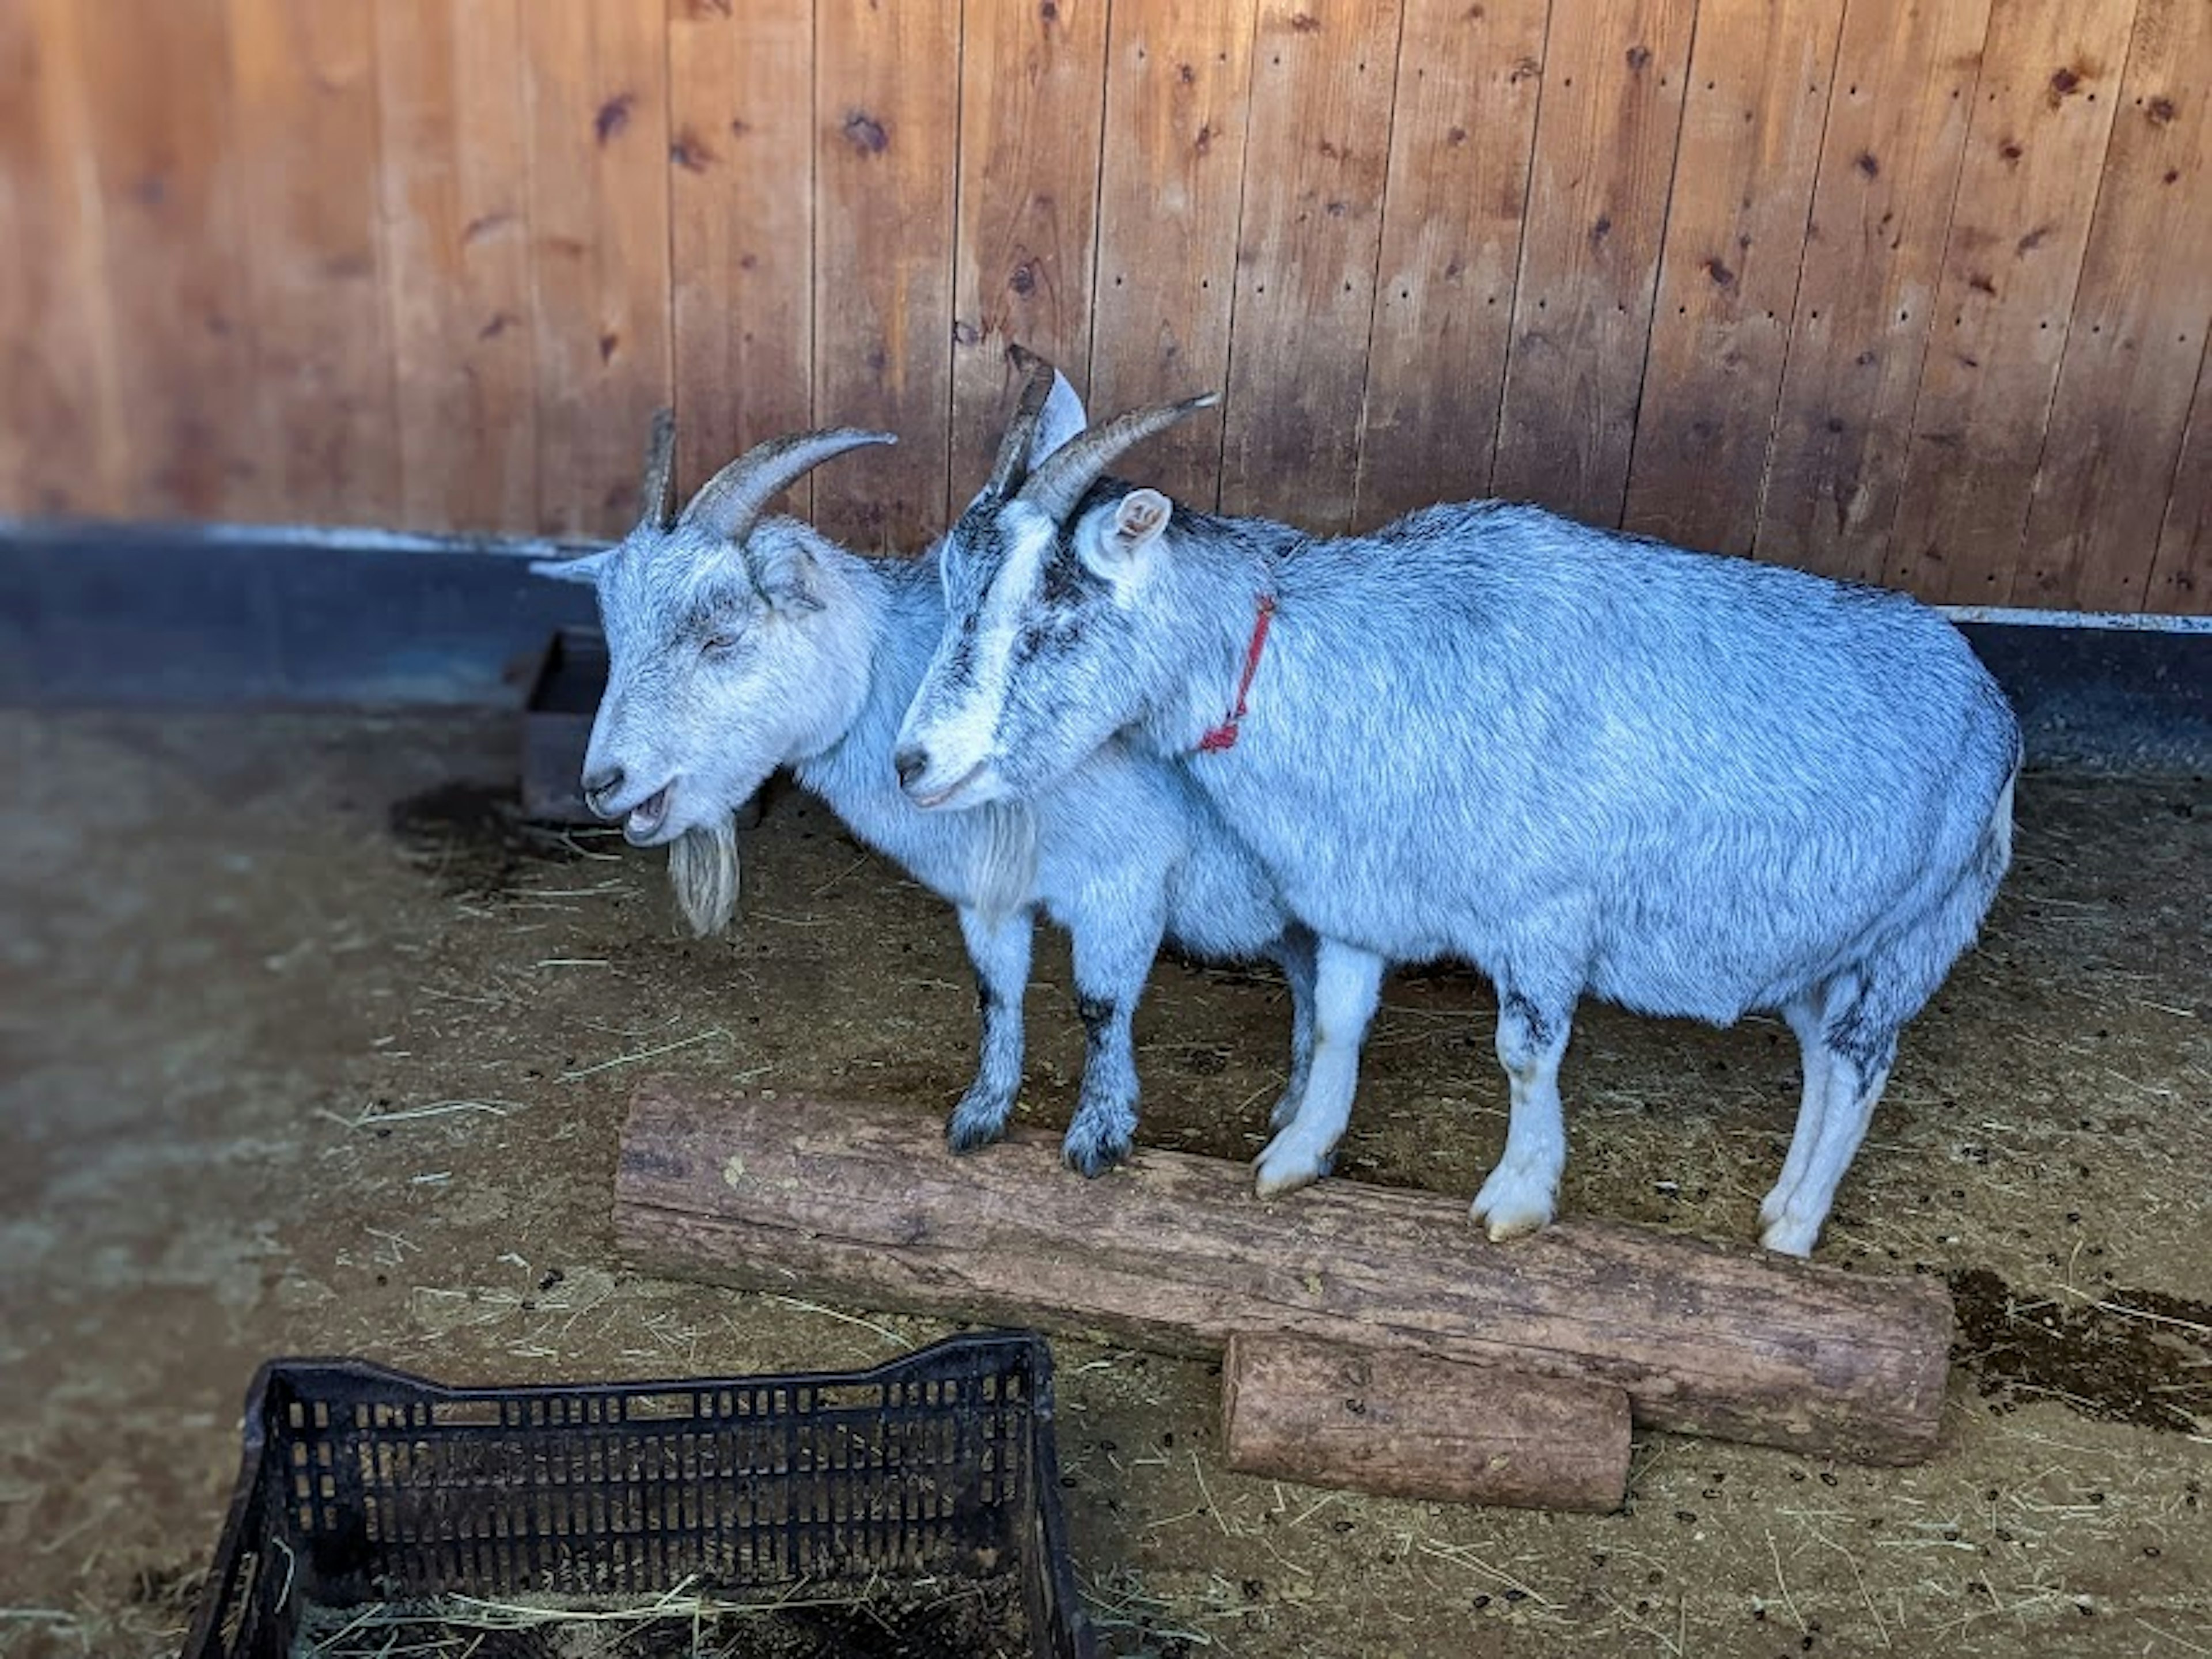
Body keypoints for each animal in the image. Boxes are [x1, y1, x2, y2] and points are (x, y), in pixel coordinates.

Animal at [533, 369, 1309, 1176]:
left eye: (719, 636)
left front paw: (1099, 1131)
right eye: (615, 637)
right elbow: (995, 995)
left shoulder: (1124, 879)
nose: (603, 783)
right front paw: (982, 1114)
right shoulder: (985, 892)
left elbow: (1102, 1006)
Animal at [889, 369, 2017, 1256]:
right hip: (1826, 945)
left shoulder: (1547, 914)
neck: (1344, 663)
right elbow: (1338, 1022)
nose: (912, 762)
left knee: (1863, 1063)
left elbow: (1524, 1053)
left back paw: (1795, 1230)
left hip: (1919, 929)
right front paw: (1294, 1157)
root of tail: (1995, 708)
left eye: (1052, 615)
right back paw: (1781, 1206)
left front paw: (1517, 1198)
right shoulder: (1358, 889)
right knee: (1827, 1055)